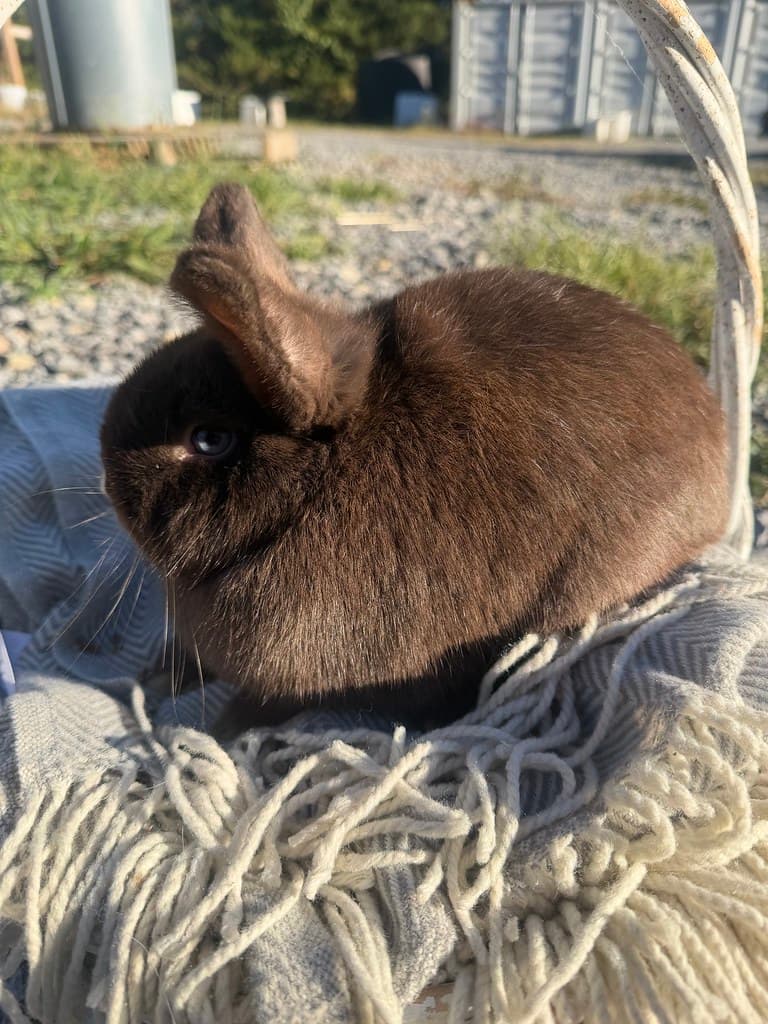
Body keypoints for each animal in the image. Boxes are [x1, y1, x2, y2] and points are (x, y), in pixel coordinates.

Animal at [100, 182, 728, 725]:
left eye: (209, 439)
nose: (107, 482)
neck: (324, 478)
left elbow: (258, 706)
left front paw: (217, 729)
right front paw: (156, 678)